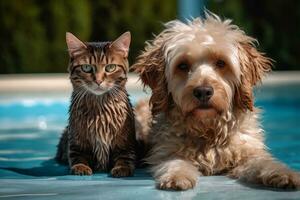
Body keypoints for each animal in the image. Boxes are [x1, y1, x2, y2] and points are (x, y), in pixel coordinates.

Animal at [55, 31, 137, 177]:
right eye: (87, 68)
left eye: (110, 67)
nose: (98, 81)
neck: (100, 107)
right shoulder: (76, 144)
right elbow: (77, 157)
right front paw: (81, 167)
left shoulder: (126, 144)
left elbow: (125, 158)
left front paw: (122, 168)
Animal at [134, 12, 300, 191]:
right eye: (182, 65)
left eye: (221, 63)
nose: (203, 91)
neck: (209, 131)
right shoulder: (165, 150)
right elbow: (174, 162)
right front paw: (177, 176)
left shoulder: (248, 151)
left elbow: (263, 162)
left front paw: (284, 173)